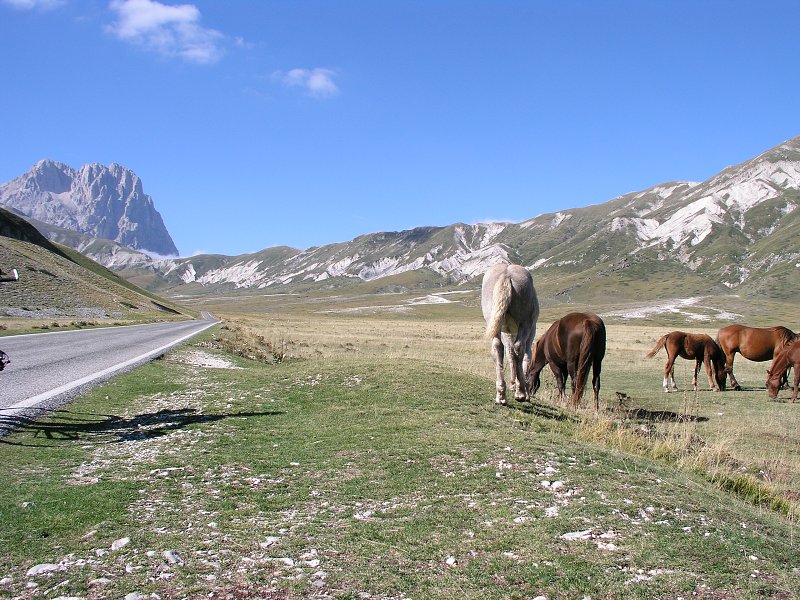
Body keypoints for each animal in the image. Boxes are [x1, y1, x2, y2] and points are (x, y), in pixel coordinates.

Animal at [482, 262, 536, 404]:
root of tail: (506, 274)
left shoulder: (507, 333)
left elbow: (510, 354)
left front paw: (513, 384)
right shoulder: (530, 333)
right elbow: (525, 357)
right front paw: (522, 388)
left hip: (493, 321)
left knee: (498, 347)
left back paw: (501, 395)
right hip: (525, 323)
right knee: (519, 347)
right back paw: (521, 392)